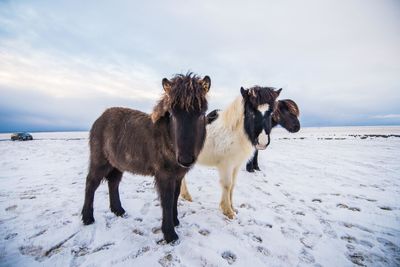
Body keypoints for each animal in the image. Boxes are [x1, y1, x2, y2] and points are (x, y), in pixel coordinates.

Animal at [82, 74, 211, 244]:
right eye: (172, 113)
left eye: (202, 113)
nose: (185, 159)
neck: (167, 138)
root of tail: (100, 118)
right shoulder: (164, 175)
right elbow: (167, 200)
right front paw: (170, 234)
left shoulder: (178, 176)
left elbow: (175, 196)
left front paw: (176, 221)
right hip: (100, 162)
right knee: (91, 184)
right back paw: (87, 218)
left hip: (117, 165)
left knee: (113, 183)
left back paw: (118, 210)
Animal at [180, 87, 280, 219]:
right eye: (250, 112)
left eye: (271, 113)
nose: (262, 142)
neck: (232, 133)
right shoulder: (226, 165)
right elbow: (227, 184)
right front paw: (228, 211)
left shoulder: (236, 165)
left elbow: (233, 185)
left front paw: (232, 208)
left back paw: (186, 196)